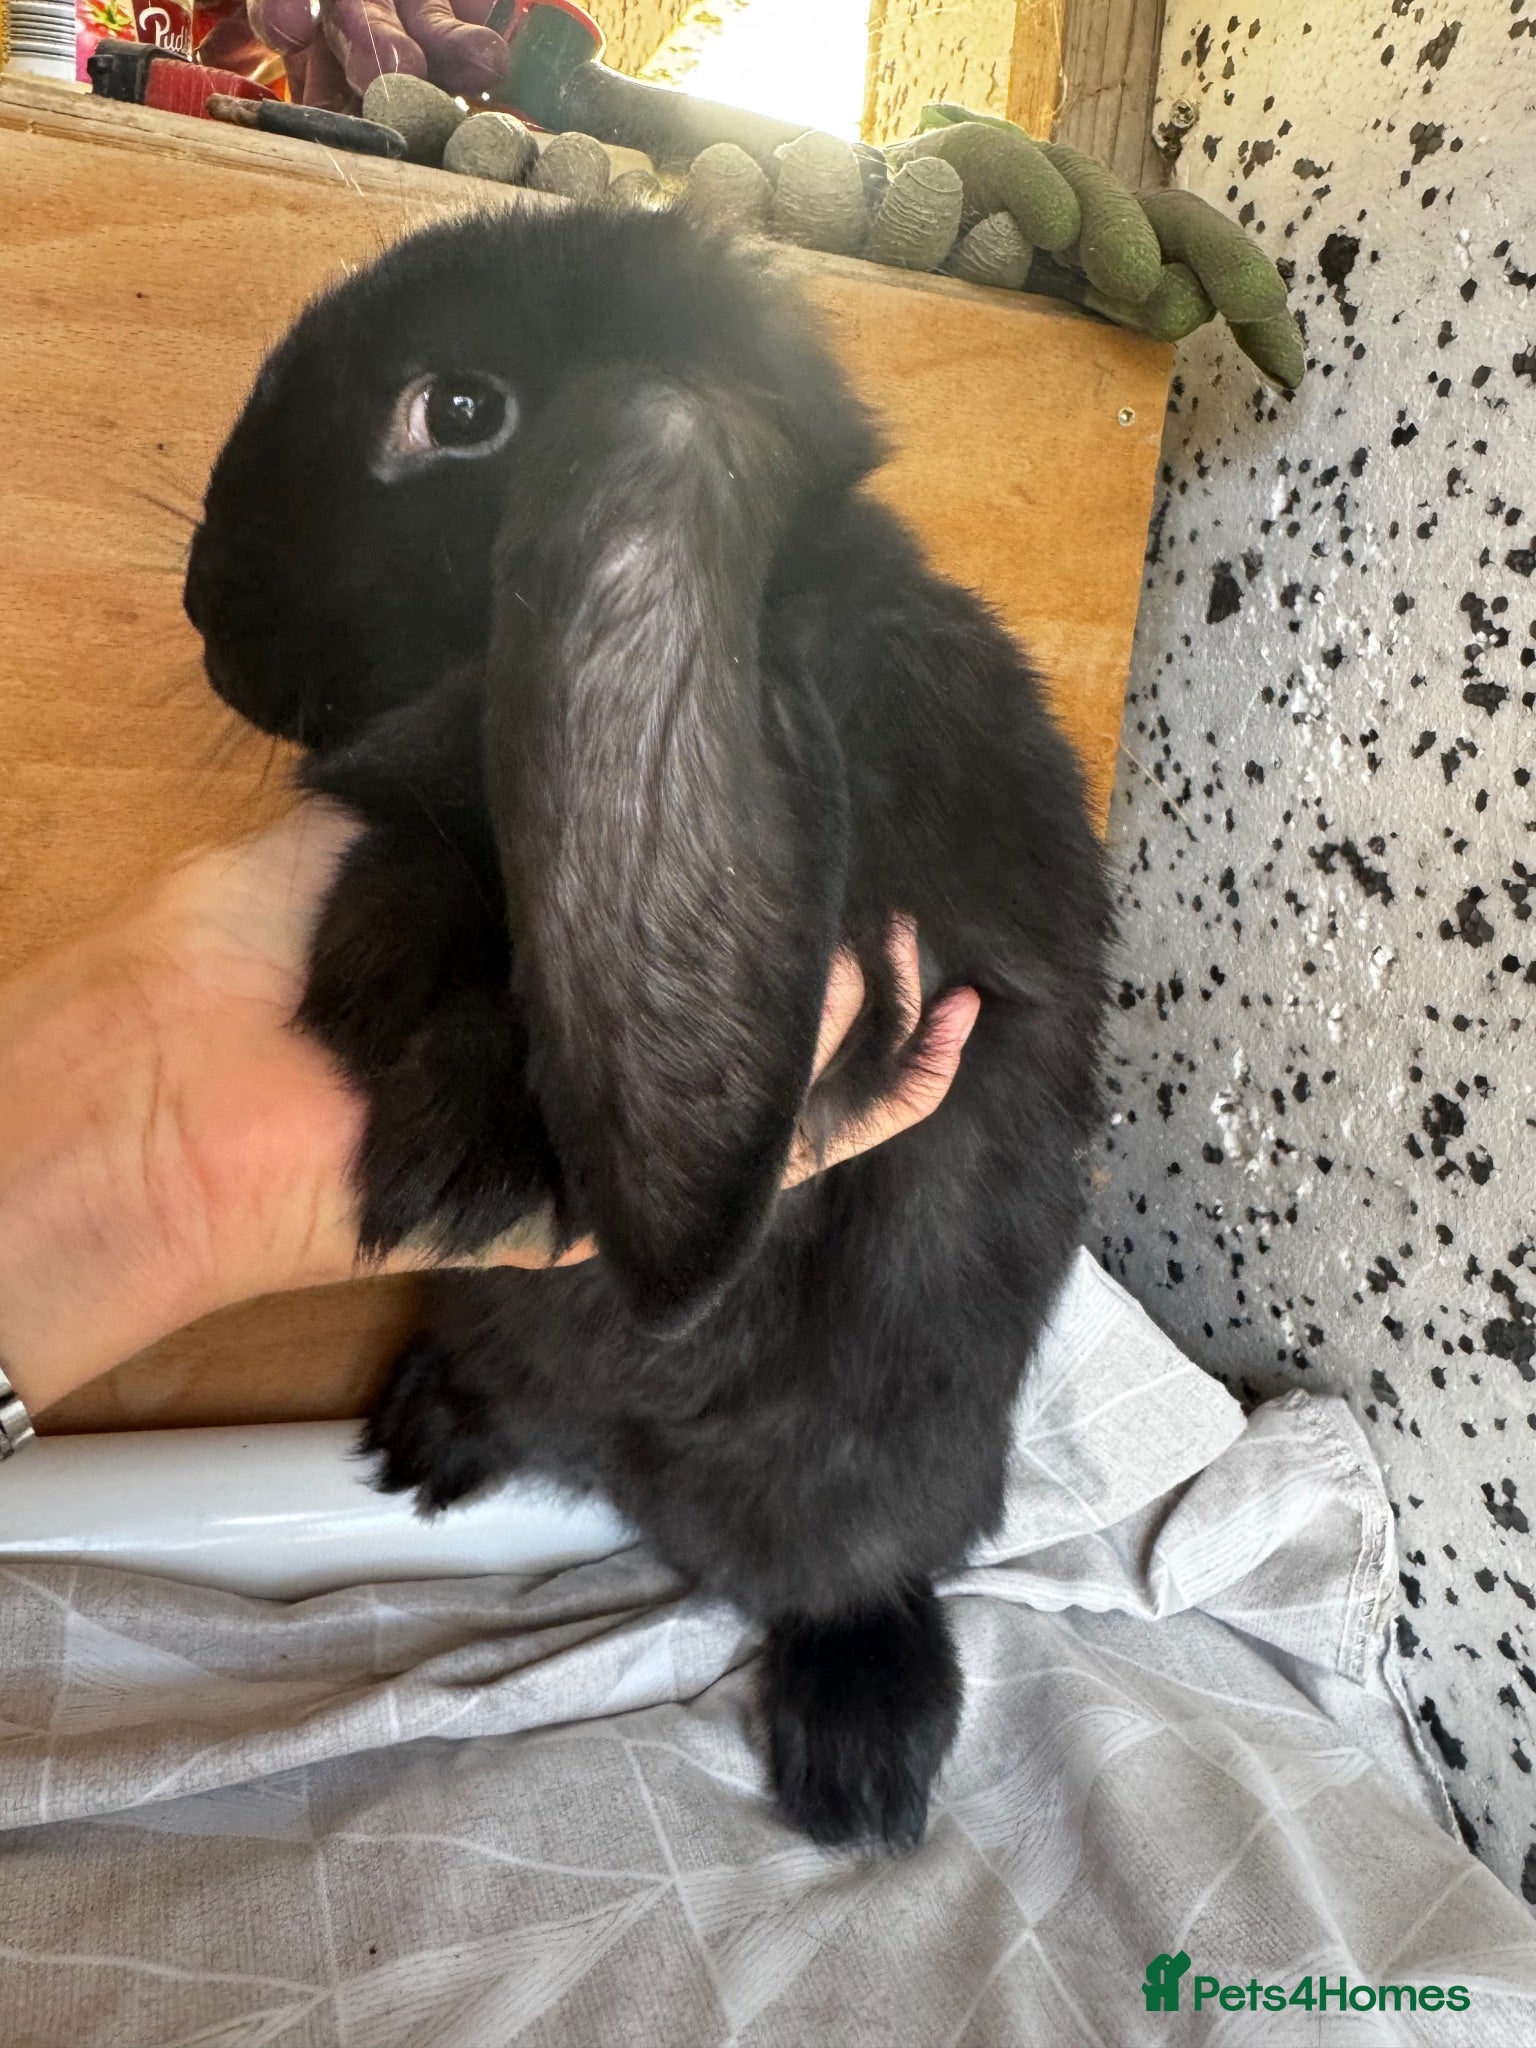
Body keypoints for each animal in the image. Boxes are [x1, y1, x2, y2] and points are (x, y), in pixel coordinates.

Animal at [183, 202, 1111, 1852]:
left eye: (461, 410)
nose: (205, 614)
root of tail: (653, 1487)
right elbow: (432, 859)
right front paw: (371, 973)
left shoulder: (885, 964)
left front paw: (461, 1152)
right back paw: (430, 1433)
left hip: (883, 1469)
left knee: (865, 1569)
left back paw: (860, 1755)